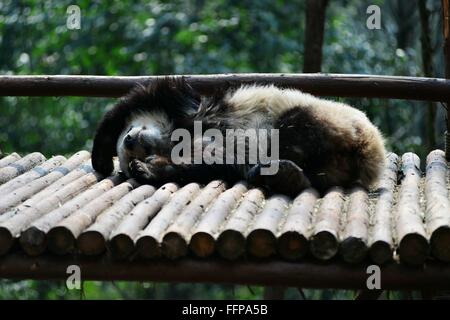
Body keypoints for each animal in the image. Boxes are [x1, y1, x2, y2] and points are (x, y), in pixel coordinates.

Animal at [91, 78, 386, 198]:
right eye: (131, 152)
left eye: (131, 135)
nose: (130, 141)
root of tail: (370, 151)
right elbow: (211, 160)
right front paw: (148, 168)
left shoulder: (182, 105)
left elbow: (128, 105)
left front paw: (104, 161)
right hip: (334, 165)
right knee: (315, 176)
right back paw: (283, 175)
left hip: (324, 117)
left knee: (289, 132)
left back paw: (275, 170)